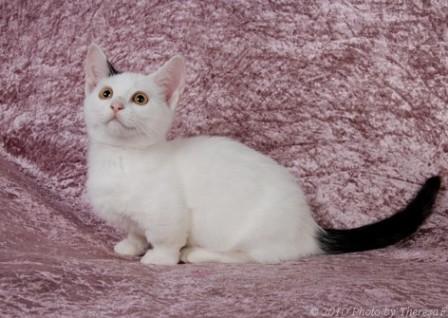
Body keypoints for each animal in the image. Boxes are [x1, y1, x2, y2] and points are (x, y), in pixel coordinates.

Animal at [84, 43, 440, 264]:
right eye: (106, 93)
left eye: (140, 99)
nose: (117, 106)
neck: (120, 158)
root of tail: (310, 228)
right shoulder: (128, 215)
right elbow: (133, 229)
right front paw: (130, 246)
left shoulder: (167, 215)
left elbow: (164, 239)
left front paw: (158, 259)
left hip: (251, 233)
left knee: (253, 256)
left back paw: (196, 253)